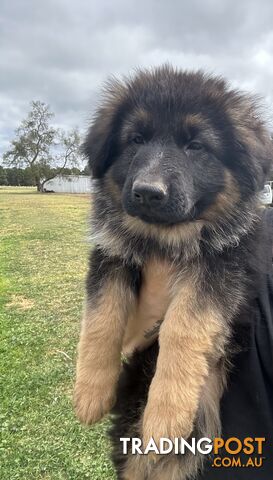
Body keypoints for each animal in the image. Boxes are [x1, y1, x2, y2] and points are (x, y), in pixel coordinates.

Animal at [74, 65, 272, 478]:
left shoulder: (222, 269)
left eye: (195, 146)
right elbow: (101, 317)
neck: (165, 238)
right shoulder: (111, 255)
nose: (148, 192)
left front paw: (166, 414)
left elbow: (182, 327)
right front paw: (89, 392)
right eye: (136, 139)